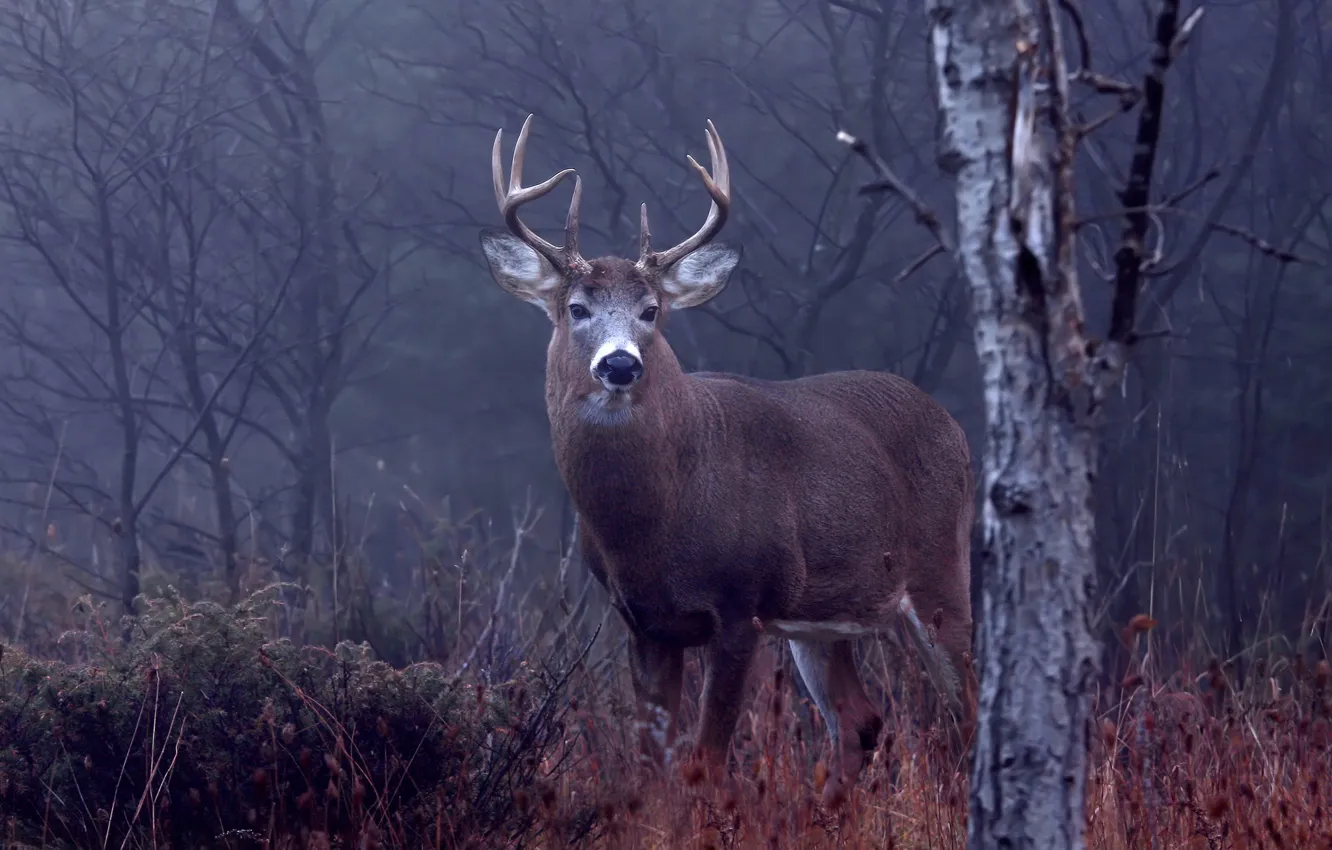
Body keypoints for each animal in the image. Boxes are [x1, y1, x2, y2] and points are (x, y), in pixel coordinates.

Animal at [479, 116, 980, 810]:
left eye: (652, 311)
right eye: (576, 308)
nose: (620, 363)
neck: (656, 522)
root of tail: (952, 426)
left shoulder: (743, 605)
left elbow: (707, 762)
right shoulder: (644, 624)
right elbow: (653, 768)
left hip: (940, 572)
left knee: (966, 710)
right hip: (823, 621)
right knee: (861, 720)